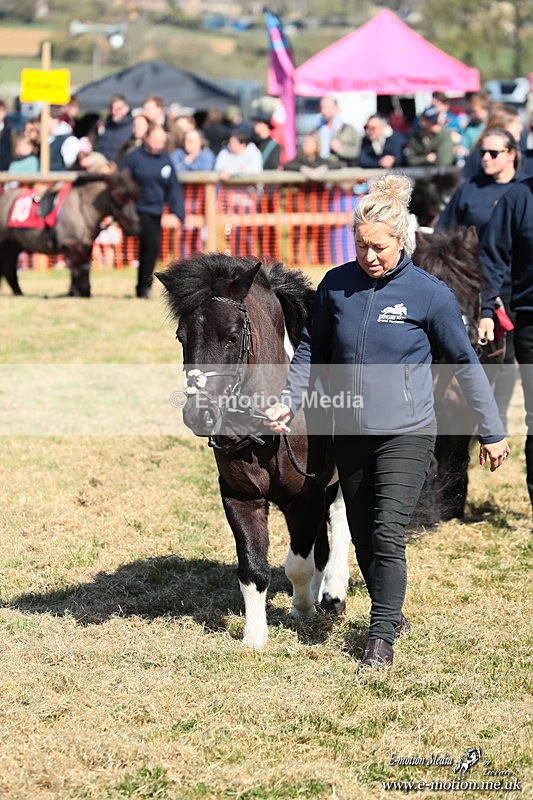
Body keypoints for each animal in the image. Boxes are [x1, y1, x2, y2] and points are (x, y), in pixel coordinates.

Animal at [0, 170, 141, 297]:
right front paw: (79, 292)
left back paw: (18, 292)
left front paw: (79, 291)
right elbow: (77, 269)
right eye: (117, 196)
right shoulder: (69, 245)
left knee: (8, 269)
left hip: (13, 246)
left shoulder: (86, 246)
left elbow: (84, 267)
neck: (80, 209)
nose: (135, 226)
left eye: (135, 198)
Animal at [155, 252, 351, 648]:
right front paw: (255, 637)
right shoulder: (239, 496)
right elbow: (253, 568)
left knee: (339, 521)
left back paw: (334, 592)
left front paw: (303, 610)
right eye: (182, 336)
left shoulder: (304, 497)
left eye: (232, 336)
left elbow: (299, 564)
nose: (198, 414)